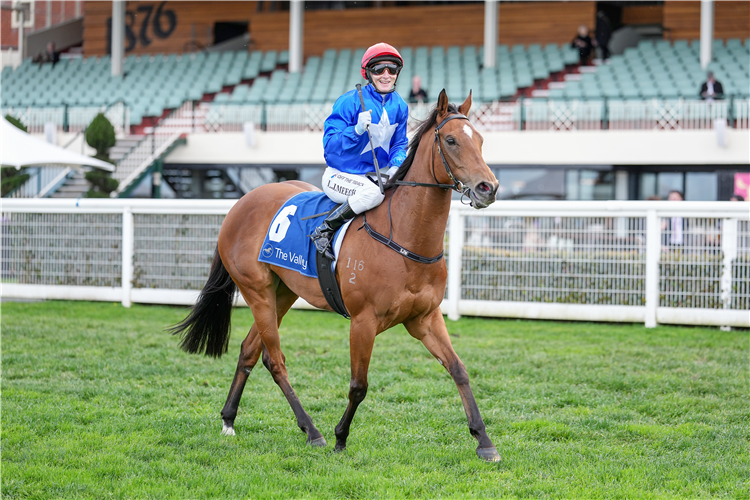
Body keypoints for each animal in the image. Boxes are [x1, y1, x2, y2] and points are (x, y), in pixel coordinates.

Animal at [170, 90, 501, 461]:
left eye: (481, 140)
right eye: (451, 140)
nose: (488, 187)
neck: (404, 237)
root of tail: (241, 203)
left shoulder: (425, 318)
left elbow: (459, 370)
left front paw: (484, 440)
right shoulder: (363, 321)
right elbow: (359, 385)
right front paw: (341, 437)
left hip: (281, 292)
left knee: (250, 351)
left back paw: (229, 419)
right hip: (256, 289)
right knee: (275, 359)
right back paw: (312, 431)